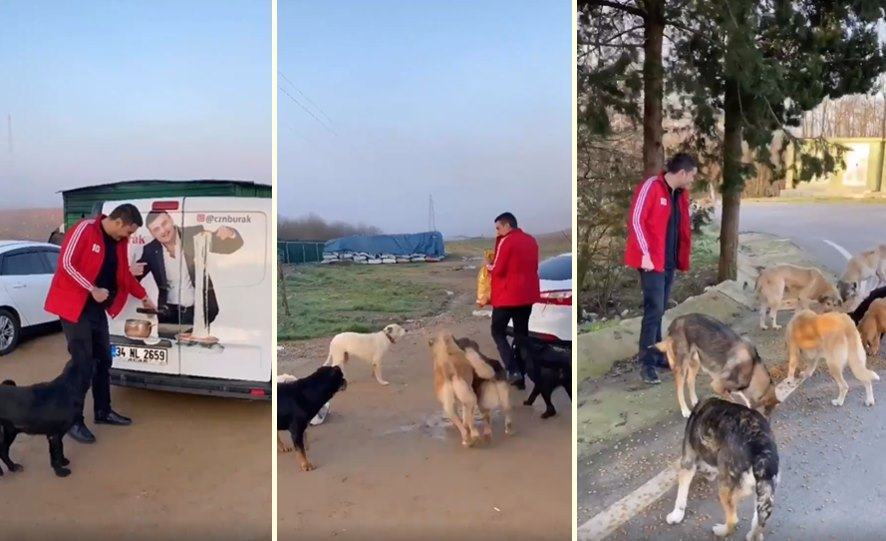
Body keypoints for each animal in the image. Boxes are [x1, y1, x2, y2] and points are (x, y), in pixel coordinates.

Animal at [668, 396, 780, 540]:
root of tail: (760, 445)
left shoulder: (688, 461)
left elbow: (681, 495)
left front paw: (676, 515)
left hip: (725, 489)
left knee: (733, 519)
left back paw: (721, 531)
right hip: (765, 492)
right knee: (759, 522)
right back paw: (753, 536)